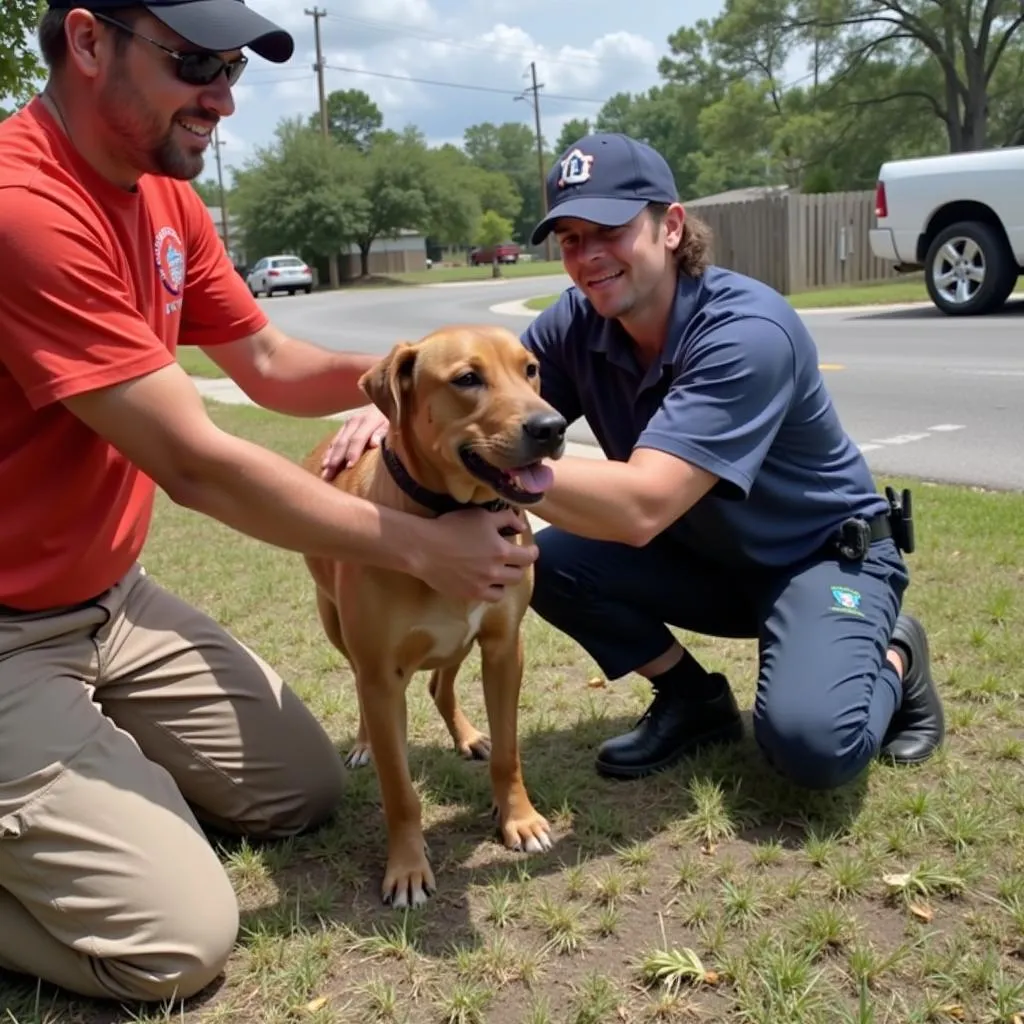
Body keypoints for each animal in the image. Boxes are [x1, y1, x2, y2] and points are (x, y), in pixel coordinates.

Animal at [299, 323, 569, 909]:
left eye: (531, 369)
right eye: (467, 379)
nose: (552, 427)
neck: (452, 515)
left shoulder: (504, 645)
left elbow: (510, 752)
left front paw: (520, 819)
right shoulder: (381, 673)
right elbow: (399, 791)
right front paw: (406, 868)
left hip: (459, 639)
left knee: (440, 685)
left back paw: (468, 735)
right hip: (340, 630)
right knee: (363, 690)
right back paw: (363, 745)